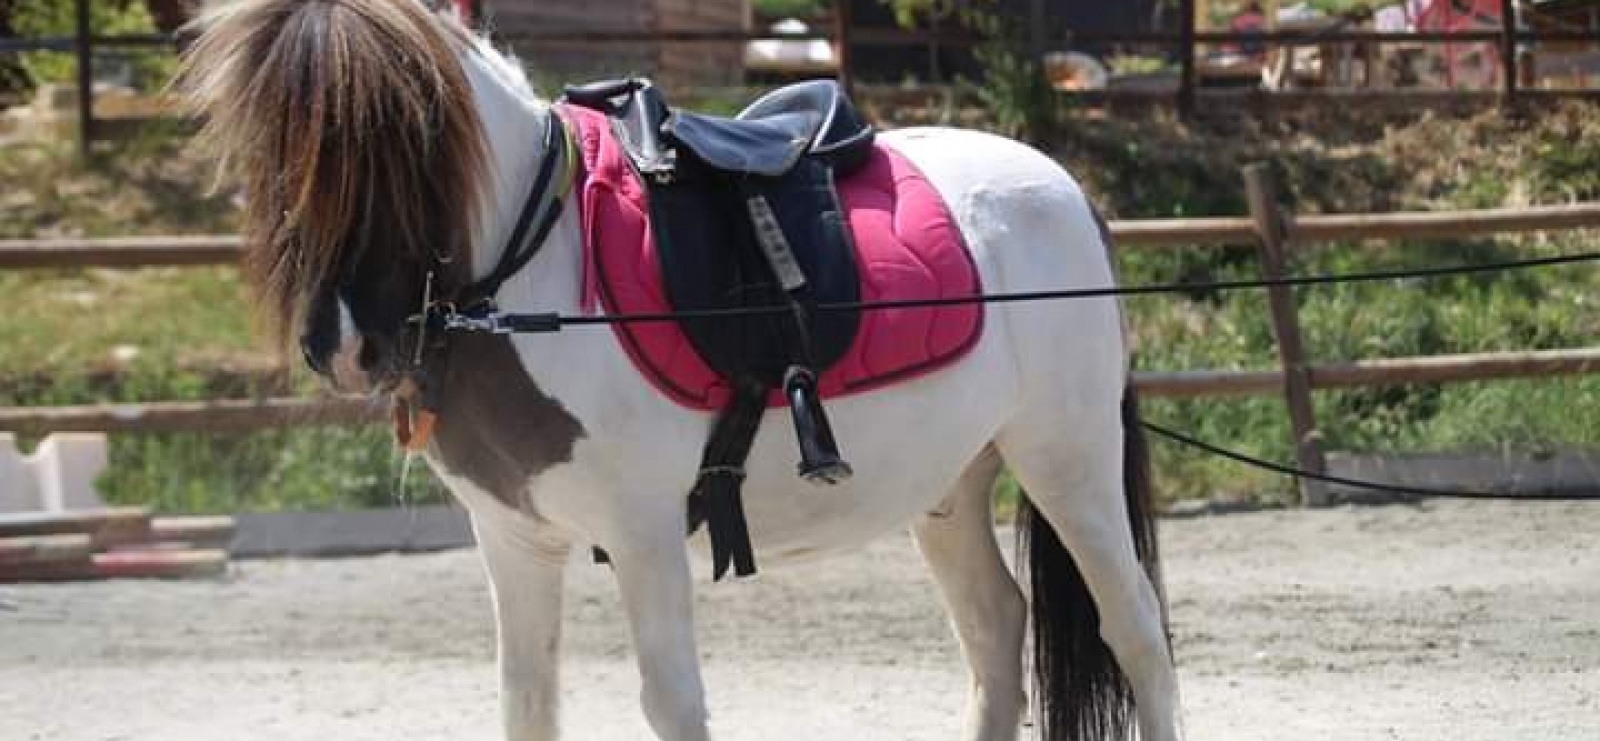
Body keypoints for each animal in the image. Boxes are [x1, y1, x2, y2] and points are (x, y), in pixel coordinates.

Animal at [175, 1, 1184, 741]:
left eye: (412, 133)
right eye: (271, 145)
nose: (348, 342)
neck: (535, 277)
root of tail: (1064, 186)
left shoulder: (645, 534)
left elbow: (671, 703)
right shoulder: (514, 539)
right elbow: (527, 705)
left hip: (1068, 463)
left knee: (1135, 632)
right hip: (950, 484)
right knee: (993, 631)